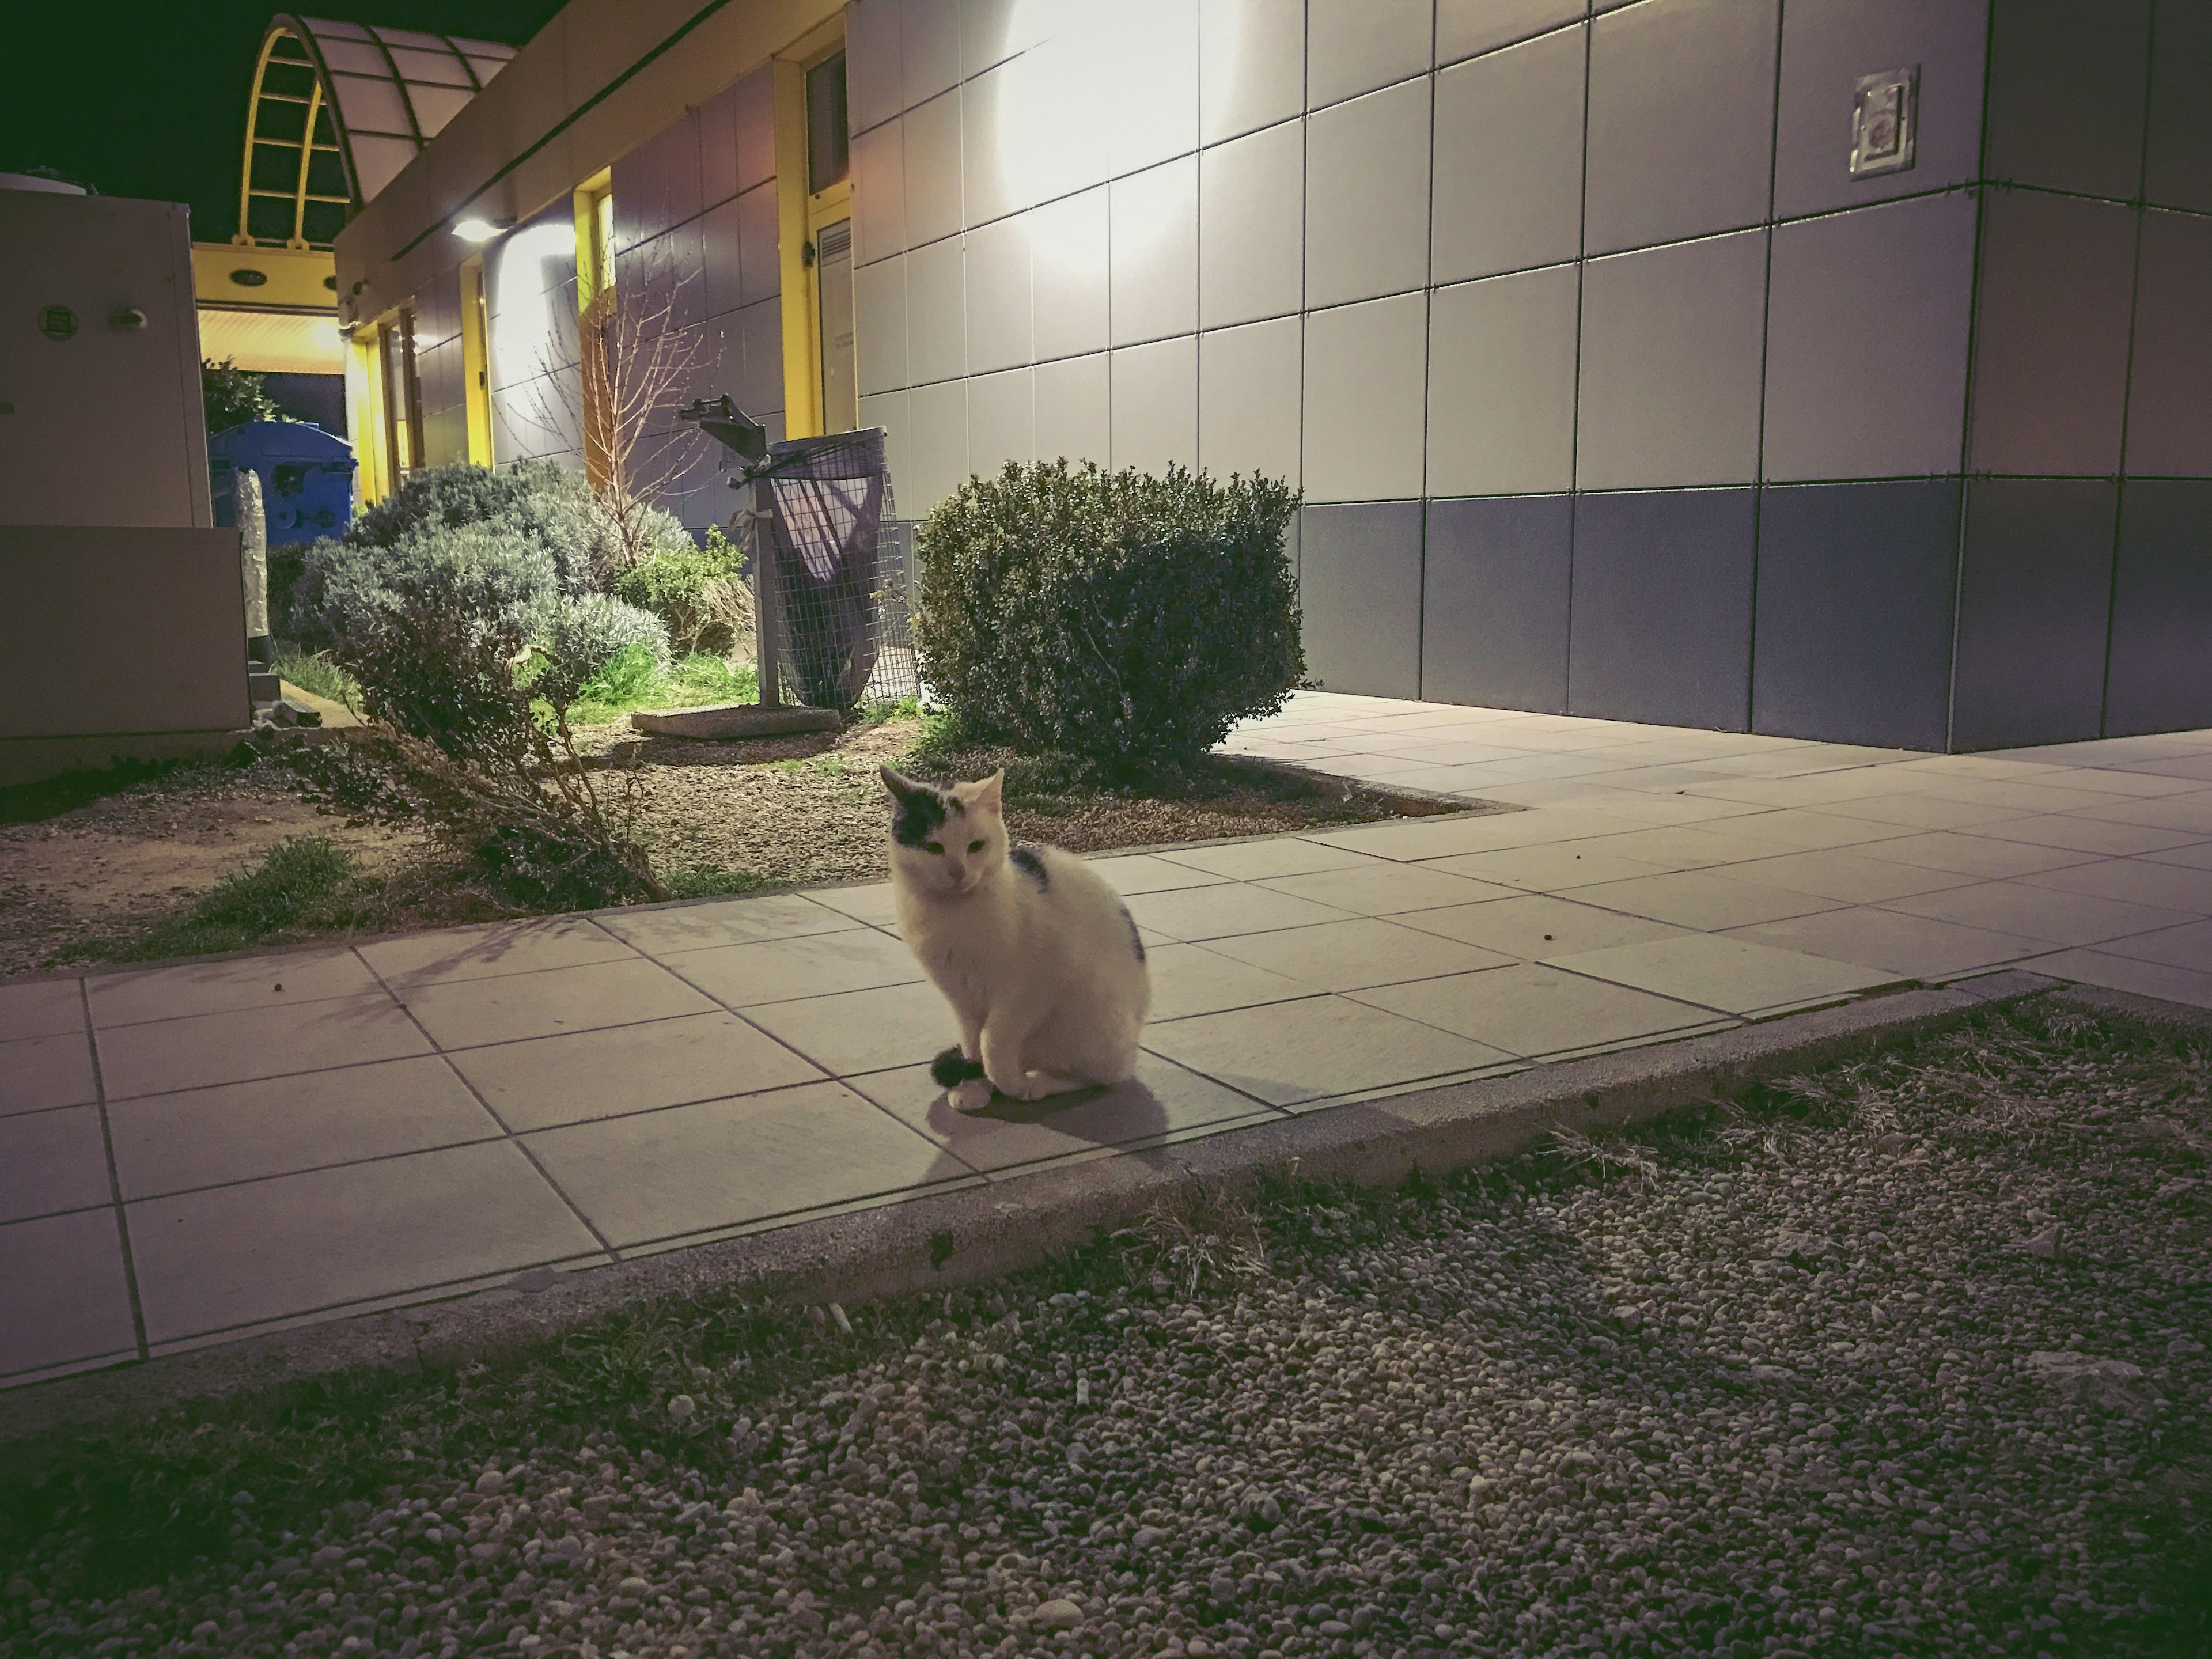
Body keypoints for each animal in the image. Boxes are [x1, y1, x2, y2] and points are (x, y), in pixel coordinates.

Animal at [880, 770, 1159, 1119]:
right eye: (934, 847)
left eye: (976, 846)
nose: (958, 872)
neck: (954, 917)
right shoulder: (961, 996)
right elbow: (974, 1045)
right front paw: (975, 1086)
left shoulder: (1032, 989)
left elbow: (993, 1041)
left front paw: (1009, 1083)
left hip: (1095, 1023)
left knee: (1102, 1076)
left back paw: (1039, 1083)